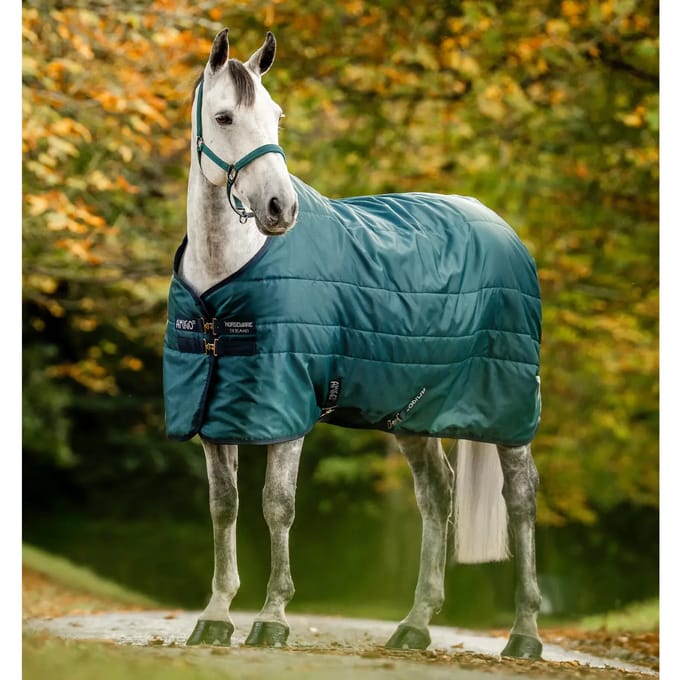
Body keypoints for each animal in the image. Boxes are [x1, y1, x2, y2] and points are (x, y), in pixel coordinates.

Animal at [163, 28, 543, 660]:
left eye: (276, 116)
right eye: (223, 117)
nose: (280, 208)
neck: (225, 279)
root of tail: (501, 227)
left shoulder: (286, 405)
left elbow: (277, 505)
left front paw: (272, 620)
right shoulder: (214, 410)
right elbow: (224, 507)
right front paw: (214, 617)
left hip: (509, 407)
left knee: (521, 498)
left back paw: (525, 634)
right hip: (412, 411)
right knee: (437, 495)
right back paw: (413, 626)